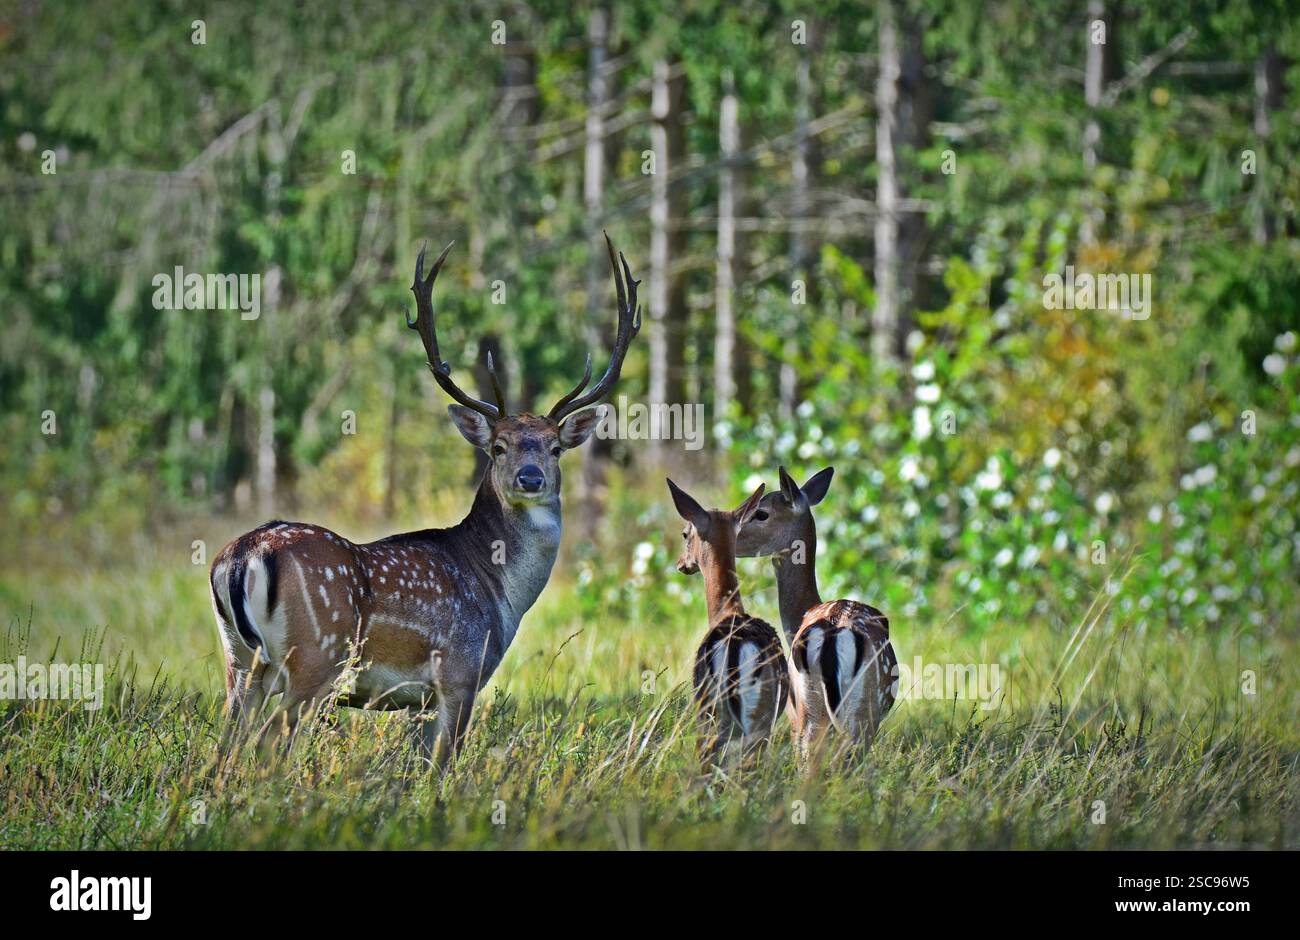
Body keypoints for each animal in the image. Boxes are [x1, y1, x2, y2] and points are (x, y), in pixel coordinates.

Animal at [209, 233, 641, 771]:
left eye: (554, 447)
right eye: (498, 447)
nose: (531, 477)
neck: (500, 593)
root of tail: (242, 556)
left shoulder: (421, 699)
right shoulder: (459, 673)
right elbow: (441, 767)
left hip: (239, 660)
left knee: (226, 740)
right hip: (316, 654)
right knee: (269, 740)